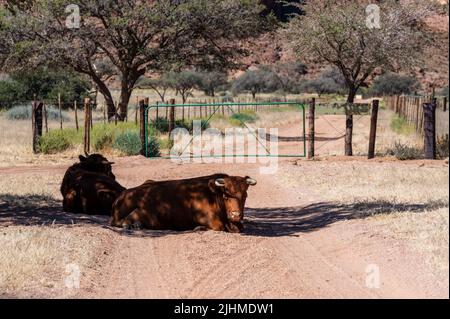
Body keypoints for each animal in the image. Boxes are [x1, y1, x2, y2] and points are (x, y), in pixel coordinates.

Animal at [110, 174, 256, 234]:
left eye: (245, 196)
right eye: (226, 196)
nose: (236, 215)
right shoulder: (212, 221)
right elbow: (218, 227)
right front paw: (199, 228)